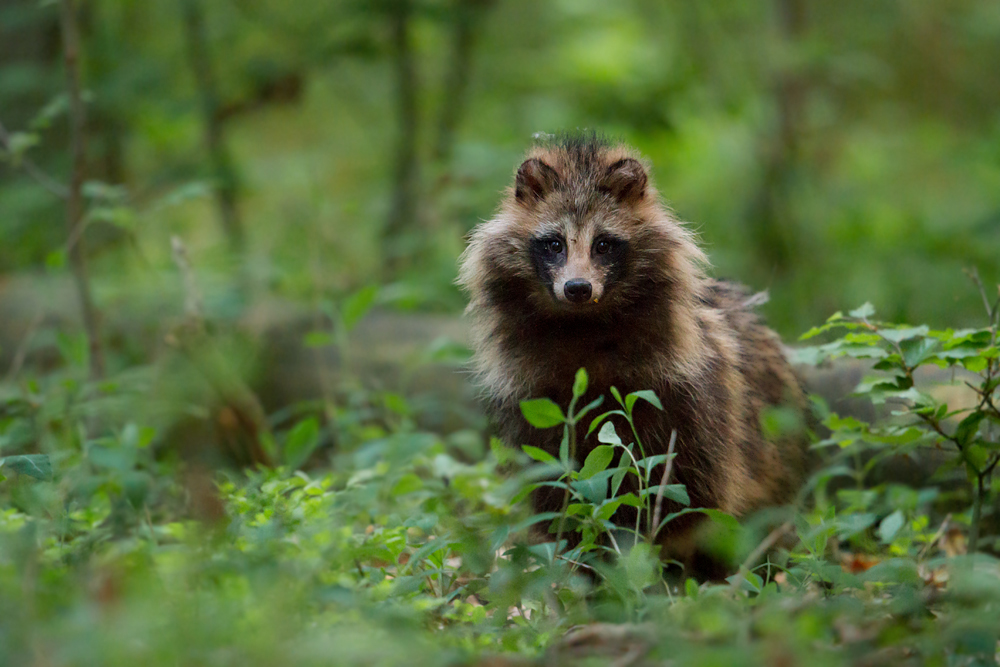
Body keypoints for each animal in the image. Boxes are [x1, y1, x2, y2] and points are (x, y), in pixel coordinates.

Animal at [458, 133, 808, 572]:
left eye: (604, 244)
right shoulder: (534, 398)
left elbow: (688, 493)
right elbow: (553, 487)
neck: (581, 327)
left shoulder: (682, 395)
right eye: (554, 244)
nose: (577, 288)